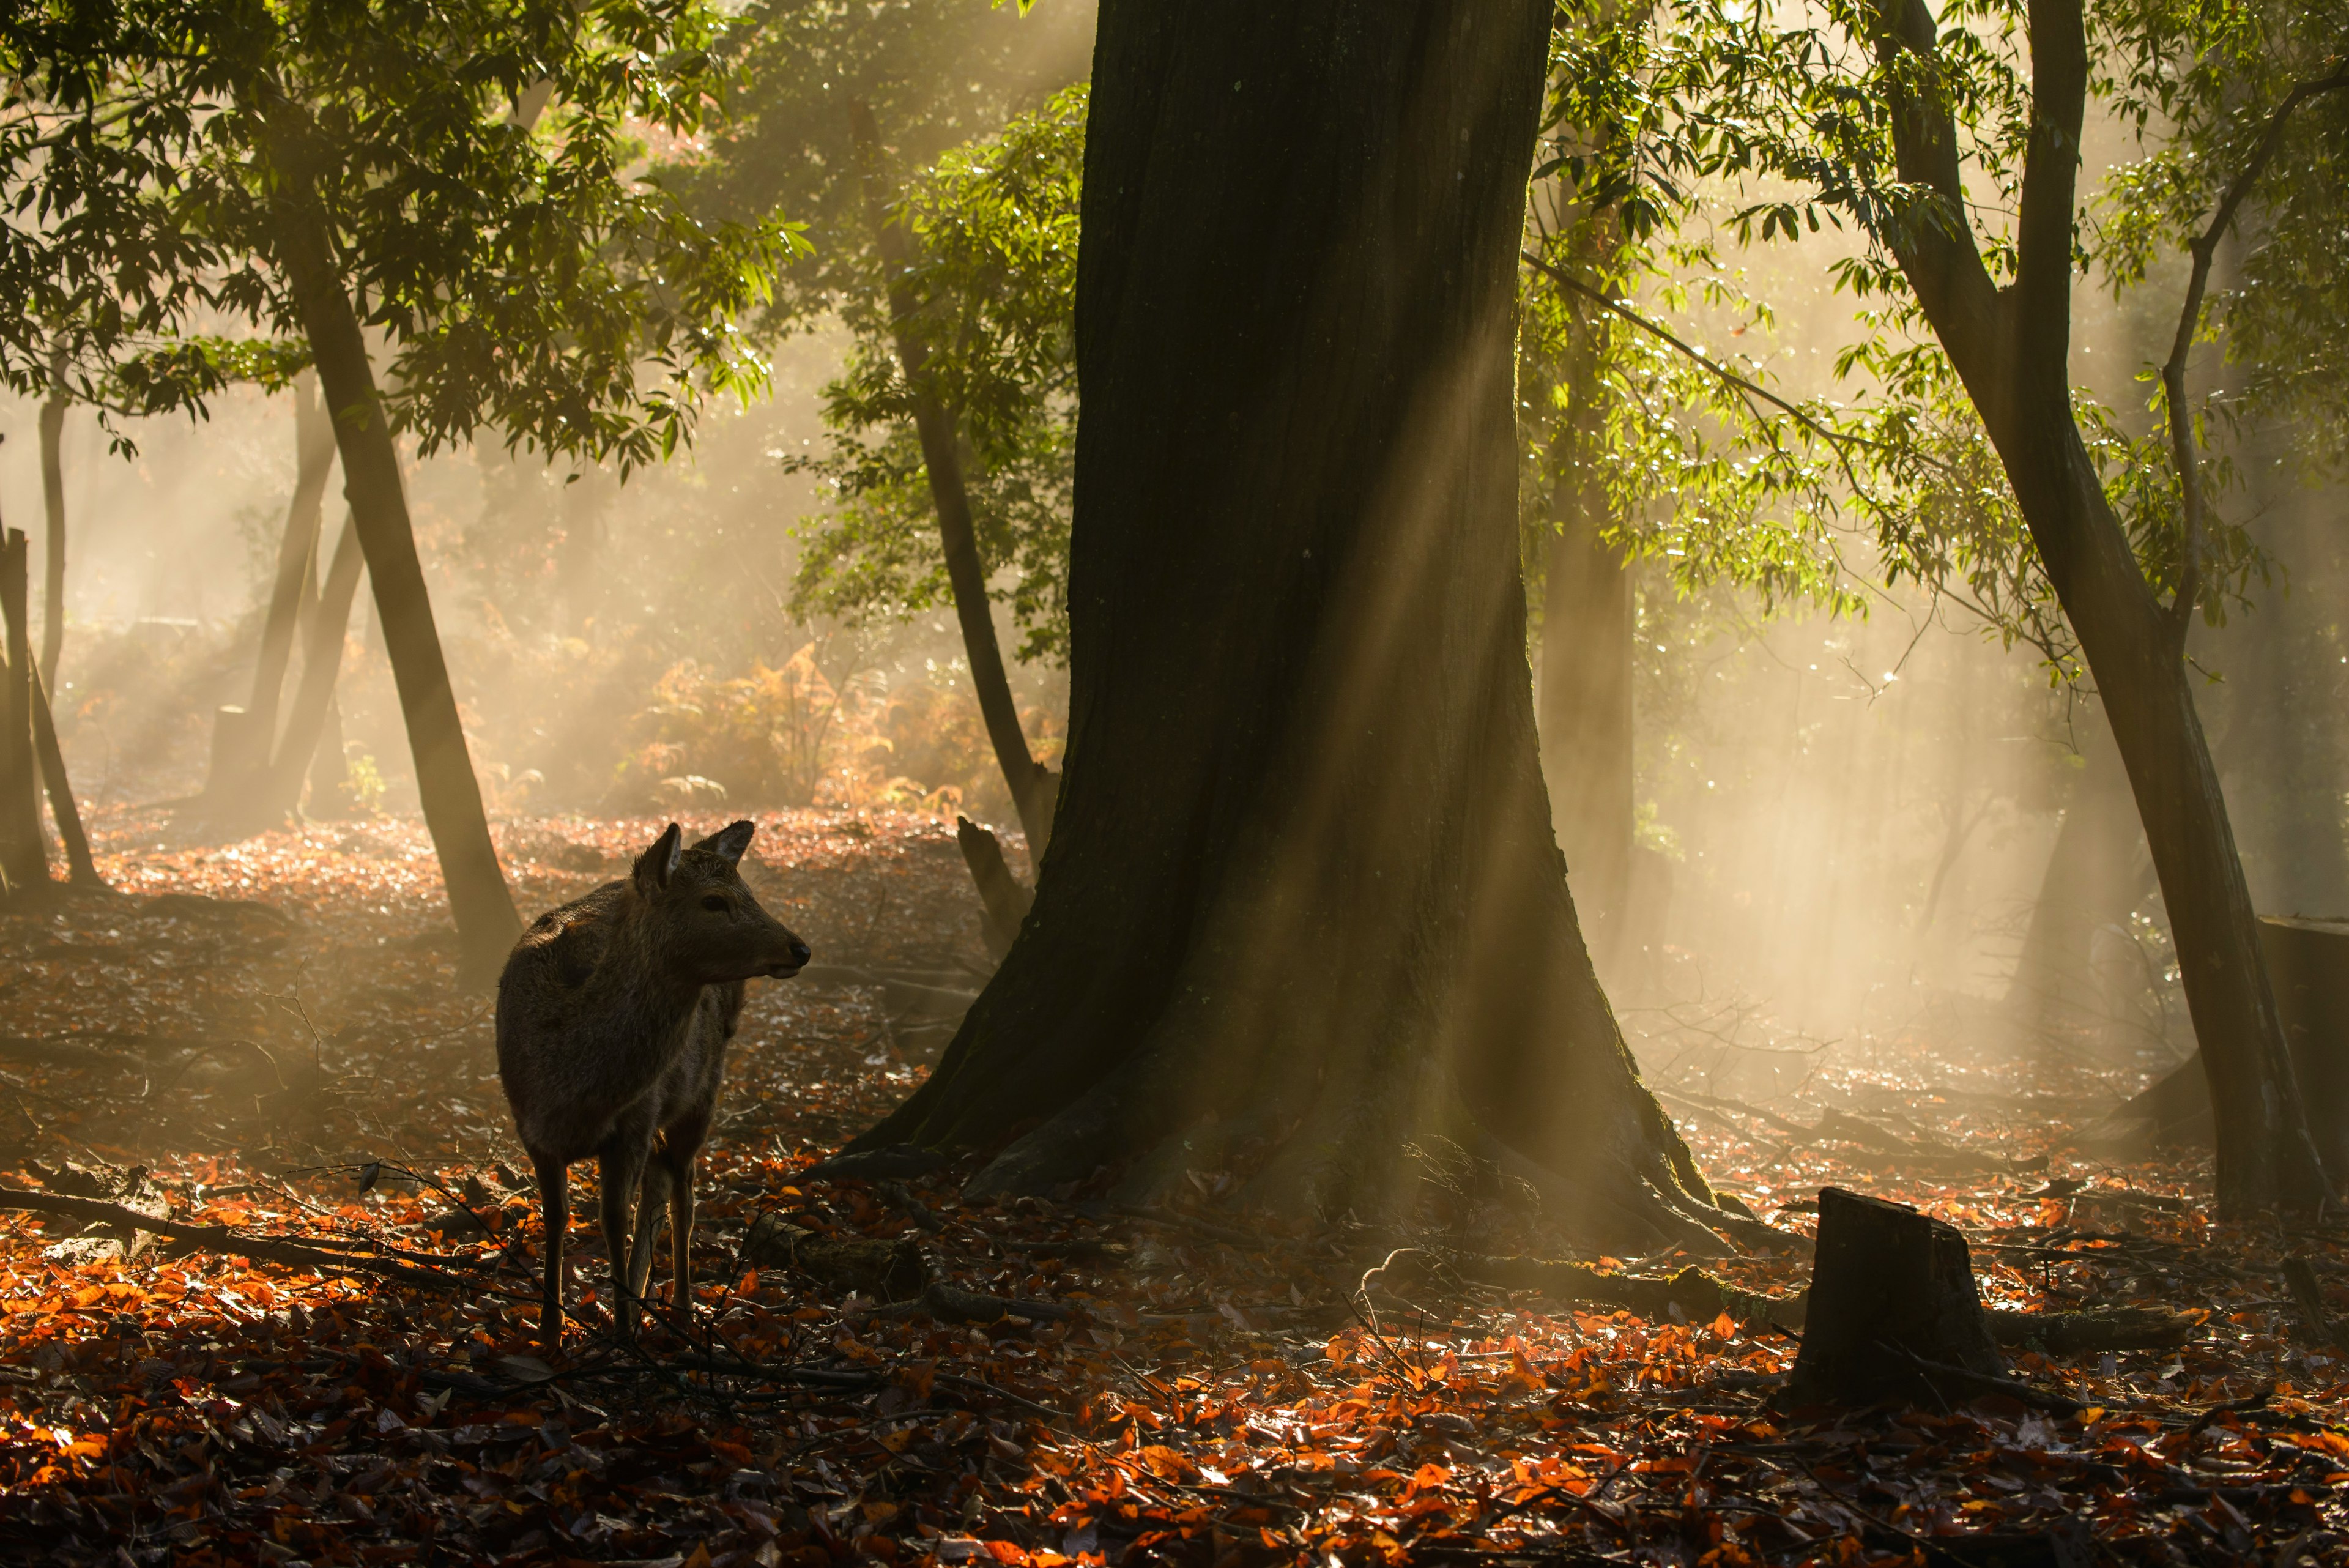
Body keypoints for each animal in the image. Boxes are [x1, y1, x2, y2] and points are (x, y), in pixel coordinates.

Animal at [493, 818, 807, 1344]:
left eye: (748, 891)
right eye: (714, 900)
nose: (799, 947)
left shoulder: (636, 1121)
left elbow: (612, 1218)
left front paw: (621, 1331)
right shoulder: (529, 1125)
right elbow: (557, 1215)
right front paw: (550, 1329)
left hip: (703, 1089)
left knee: (684, 1186)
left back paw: (680, 1306)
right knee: (662, 1180)